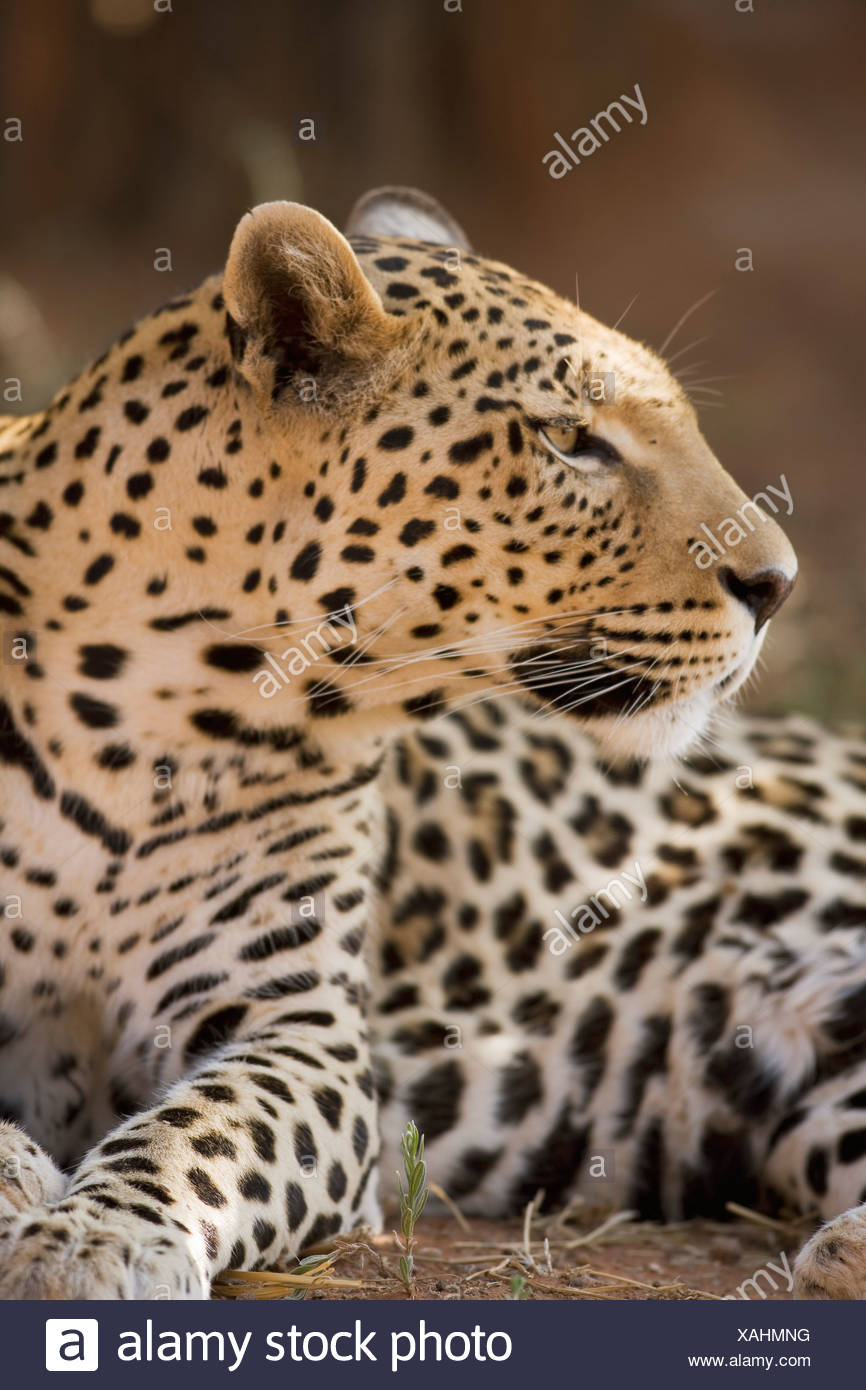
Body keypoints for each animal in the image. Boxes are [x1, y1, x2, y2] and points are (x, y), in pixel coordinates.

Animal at [0, 185, 863, 1301]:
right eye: (568, 438)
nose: (777, 585)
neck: (132, 733)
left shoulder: (302, 1036)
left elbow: (194, 1135)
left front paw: (94, 1241)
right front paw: (29, 1183)